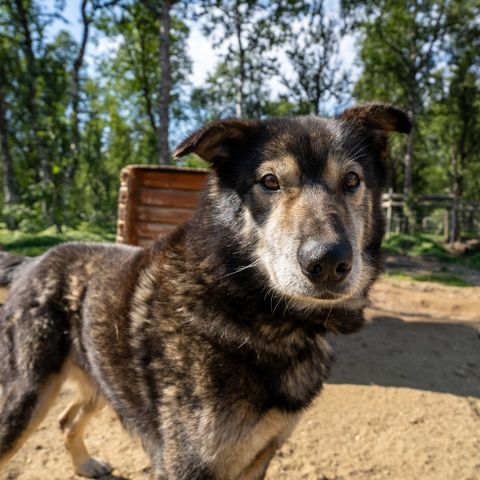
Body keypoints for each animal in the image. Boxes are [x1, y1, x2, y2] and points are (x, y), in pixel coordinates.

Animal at [0, 105, 410, 480]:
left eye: (352, 180)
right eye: (270, 181)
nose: (328, 262)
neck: (247, 305)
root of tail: (33, 262)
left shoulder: (259, 456)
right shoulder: (188, 464)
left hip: (100, 382)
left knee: (67, 419)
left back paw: (86, 464)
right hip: (27, 395)